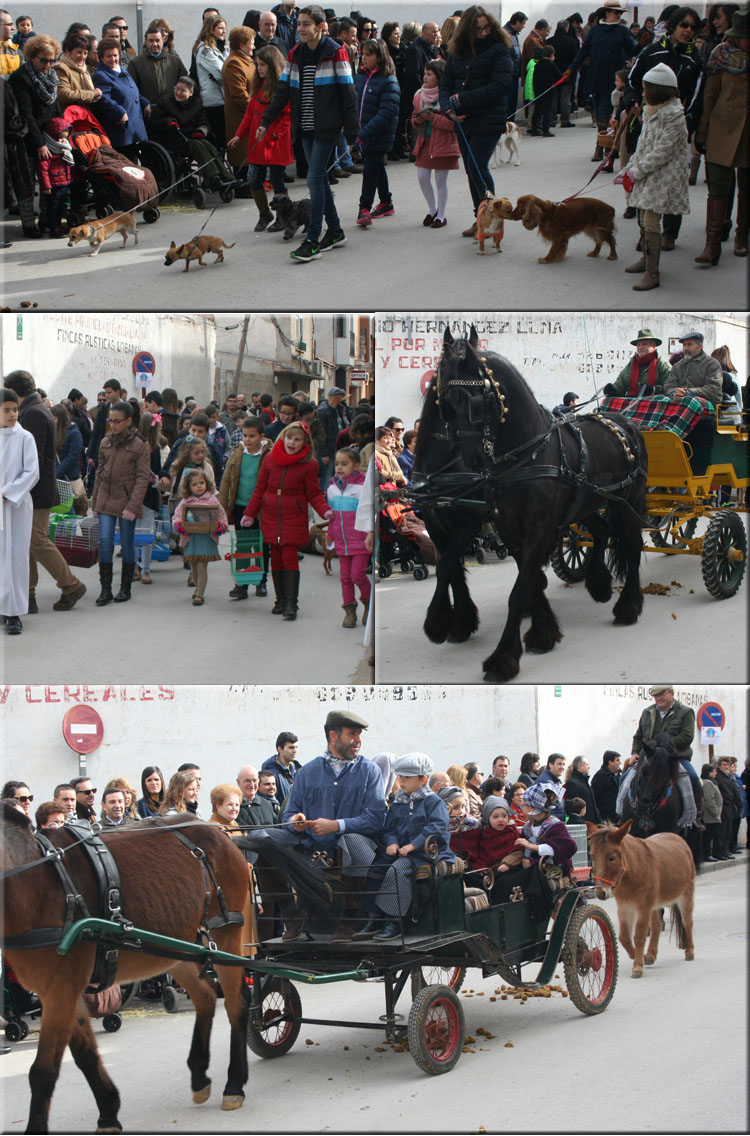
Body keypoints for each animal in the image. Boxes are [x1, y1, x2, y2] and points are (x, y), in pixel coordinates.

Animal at [0, 804, 252, 1131]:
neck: (36, 882)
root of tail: (216, 830)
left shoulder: (59, 991)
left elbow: (43, 1072)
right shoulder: (63, 993)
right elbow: (85, 1056)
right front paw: (108, 1111)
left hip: (225, 934)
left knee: (236, 1003)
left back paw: (234, 1084)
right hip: (174, 947)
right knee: (206, 997)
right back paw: (199, 1076)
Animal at [413, 329, 645, 681]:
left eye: (476, 402)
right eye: (444, 403)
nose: (473, 461)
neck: (525, 454)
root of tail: (623, 420)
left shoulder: (527, 525)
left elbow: (518, 588)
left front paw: (503, 657)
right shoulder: (499, 525)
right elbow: (499, 574)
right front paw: (540, 630)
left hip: (626, 502)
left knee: (631, 546)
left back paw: (628, 606)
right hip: (587, 502)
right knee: (601, 530)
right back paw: (599, 584)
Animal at [586, 822, 695, 981]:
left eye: (611, 858)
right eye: (593, 856)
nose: (600, 893)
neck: (632, 872)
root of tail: (677, 838)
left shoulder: (643, 907)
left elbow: (639, 936)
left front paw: (637, 967)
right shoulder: (625, 907)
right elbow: (624, 937)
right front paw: (641, 957)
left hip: (686, 895)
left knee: (687, 922)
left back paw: (689, 951)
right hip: (655, 905)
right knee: (656, 925)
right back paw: (650, 955)